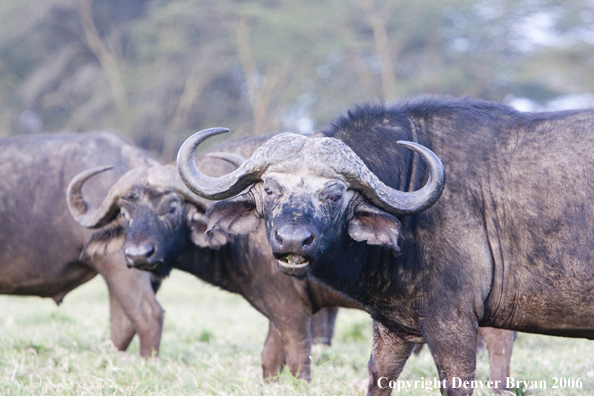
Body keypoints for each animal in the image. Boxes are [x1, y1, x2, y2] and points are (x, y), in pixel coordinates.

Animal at [66, 135, 360, 382]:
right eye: (125, 213)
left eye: (171, 208)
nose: (138, 254)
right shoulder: (280, 312)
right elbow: (270, 360)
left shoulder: (291, 309)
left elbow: (297, 360)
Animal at [176, 94, 588, 394]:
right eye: (270, 189)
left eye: (335, 195)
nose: (293, 240)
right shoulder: (393, 326)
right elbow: (379, 377)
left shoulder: (452, 322)